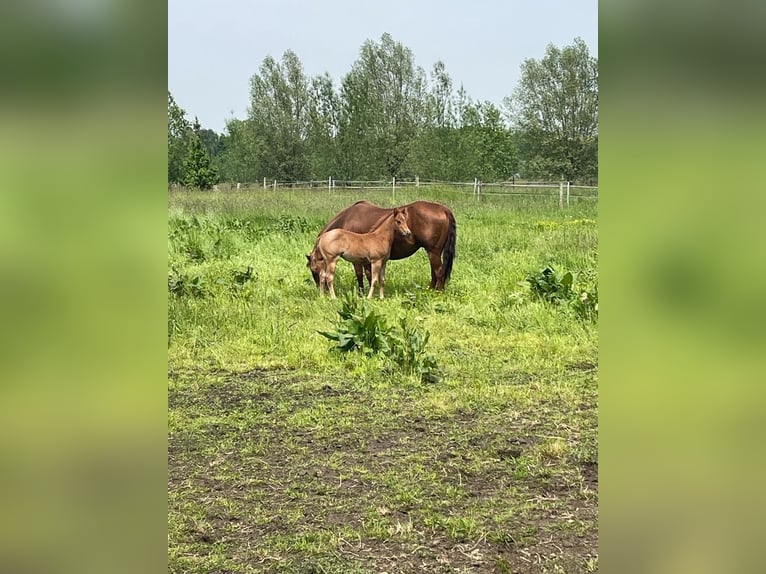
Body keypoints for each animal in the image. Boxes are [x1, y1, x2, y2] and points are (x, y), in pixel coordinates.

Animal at [308, 201, 460, 292]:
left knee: (439, 271)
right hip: (432, 252)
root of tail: (444, 209)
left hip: (433, 251)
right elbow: (369, 274)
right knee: (434, 271)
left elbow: (361, 275)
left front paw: (363, 293)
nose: (321, 289)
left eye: (313, 269)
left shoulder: (357, 259)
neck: (347, 220)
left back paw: (438, 292)